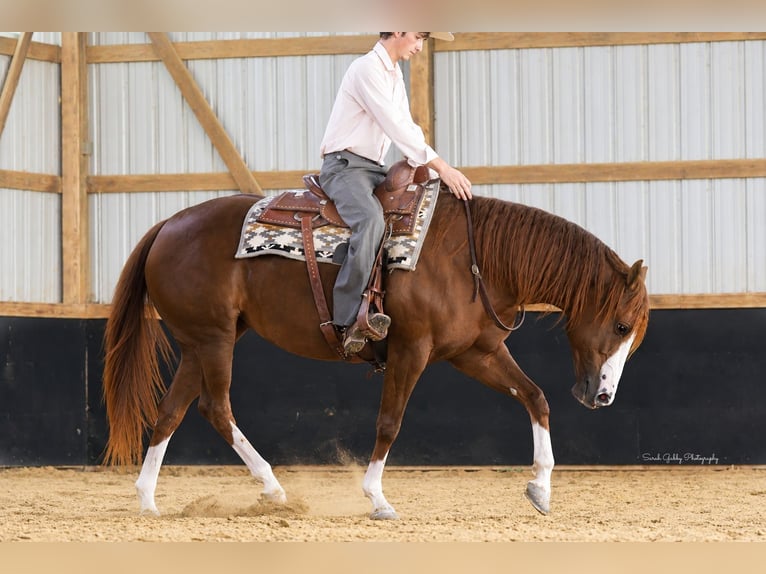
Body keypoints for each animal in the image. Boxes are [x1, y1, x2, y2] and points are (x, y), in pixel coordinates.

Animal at [102, 189, 649, 519]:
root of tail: (168, 224)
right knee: (215, 407)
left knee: (170, 412)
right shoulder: (412, 349)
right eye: (621, 325)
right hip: (213, 339)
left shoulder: (477, 351)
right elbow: (390, 422)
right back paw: (273, 488)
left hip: (203, 342)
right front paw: (377, 497)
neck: (472, 259)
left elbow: (536, 398)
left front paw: (541, 489)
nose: (603, 396)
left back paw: (147, 499)